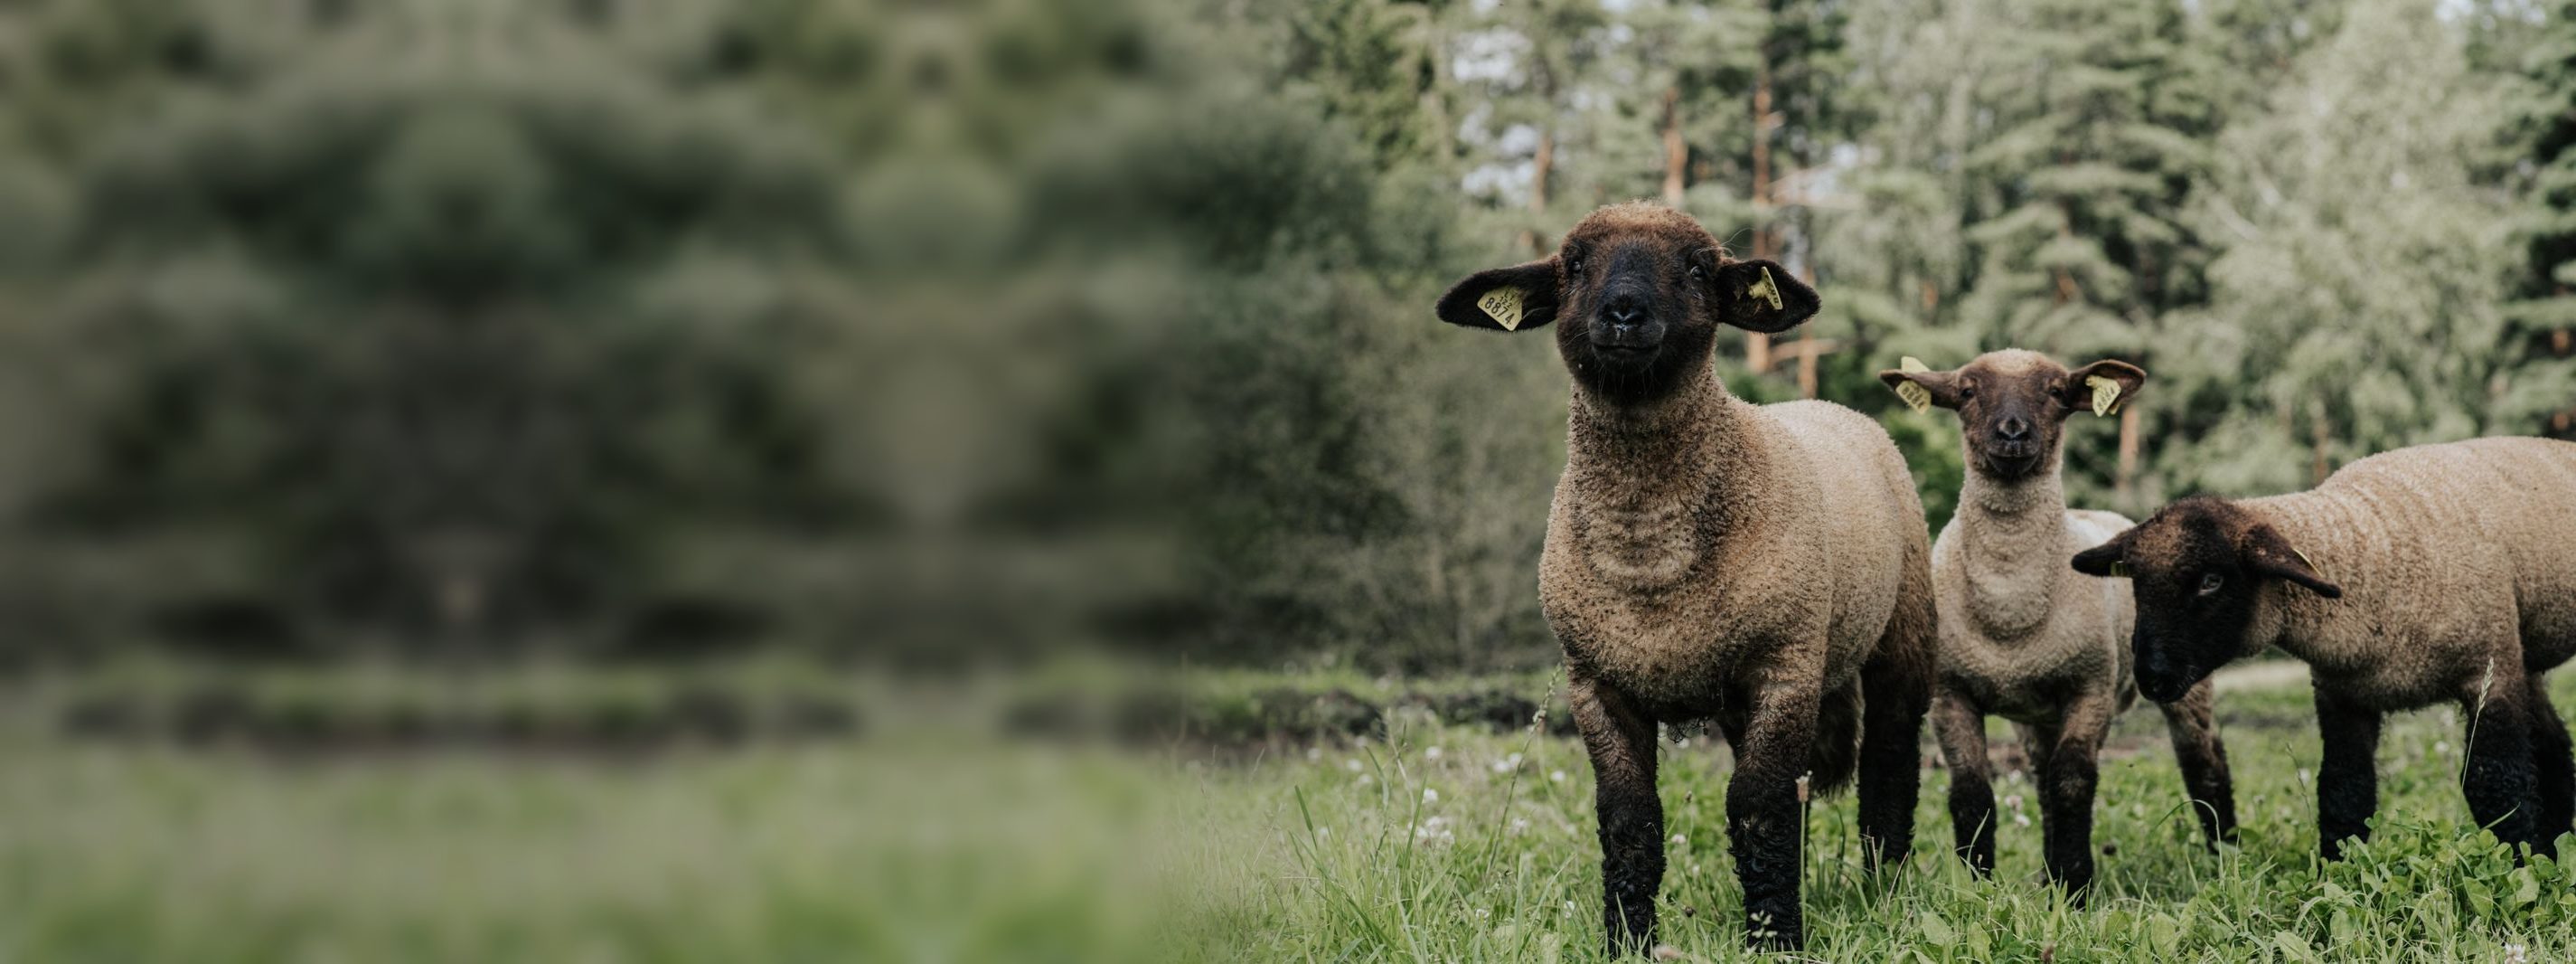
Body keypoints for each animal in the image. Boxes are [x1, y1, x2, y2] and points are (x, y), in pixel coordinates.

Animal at [1434, 201, 1934, 953]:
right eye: (1573, 262)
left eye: (1699, 267)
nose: (1623, 313)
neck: (1651, 557)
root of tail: (1826, 408)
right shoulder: (1596, 682)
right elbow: (1629, 815)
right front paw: (1627, 941)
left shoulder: (1783, 663)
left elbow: (1757, 804)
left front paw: (1774, 939)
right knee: (1805, 783)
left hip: (1900, 634)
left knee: (1889, 764)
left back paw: (1888, 888)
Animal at [1878, 350, 2237, 897]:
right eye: (1966, 391)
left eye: (2054, 391)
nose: (2011, 432)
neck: (2010, 609)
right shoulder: (1949, 693)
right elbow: (1972, 792)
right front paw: (1979, 887)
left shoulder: (2089, 685)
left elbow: (2072, 781)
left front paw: (2076, 884)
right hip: (2036, 714)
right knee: (2041, 780)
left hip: (2183, 678)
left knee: (2203, 760)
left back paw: (2225, 856)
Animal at [2071, 437, 2576, 860]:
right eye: (2136, 582)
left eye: (2211, 581)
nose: (2151, 677)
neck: (2370, 550)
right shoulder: (2342, 694)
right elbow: (2344, 791)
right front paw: (2337, 875)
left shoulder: (2489, 674)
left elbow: (2496, 785)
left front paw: (2523, 868)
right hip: (2522, 655)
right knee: (2554, 746)